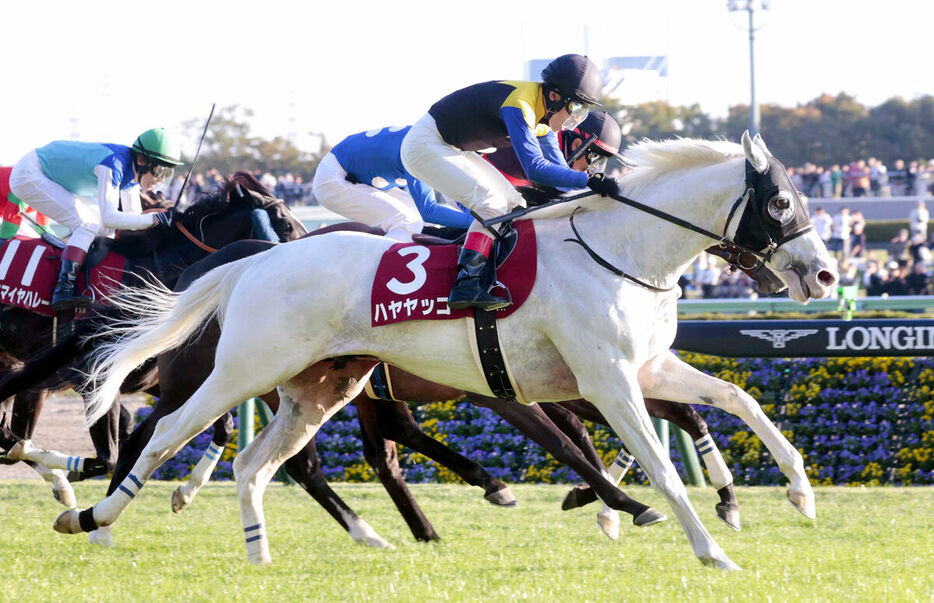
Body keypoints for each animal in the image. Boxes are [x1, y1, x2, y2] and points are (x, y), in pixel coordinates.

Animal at [60, 132, 840, 572]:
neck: (616, 249)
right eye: (781, 203)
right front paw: (709, 548)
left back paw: (264, 552)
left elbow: (737, 398)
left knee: (259, 462)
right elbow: (655, 465)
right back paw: (92, 518)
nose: (826, 273)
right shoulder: (606, 379)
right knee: (167, 430)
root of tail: (258, 258)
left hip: (325, 387)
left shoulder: (644, 367)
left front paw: (798, 491)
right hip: (248, 368)